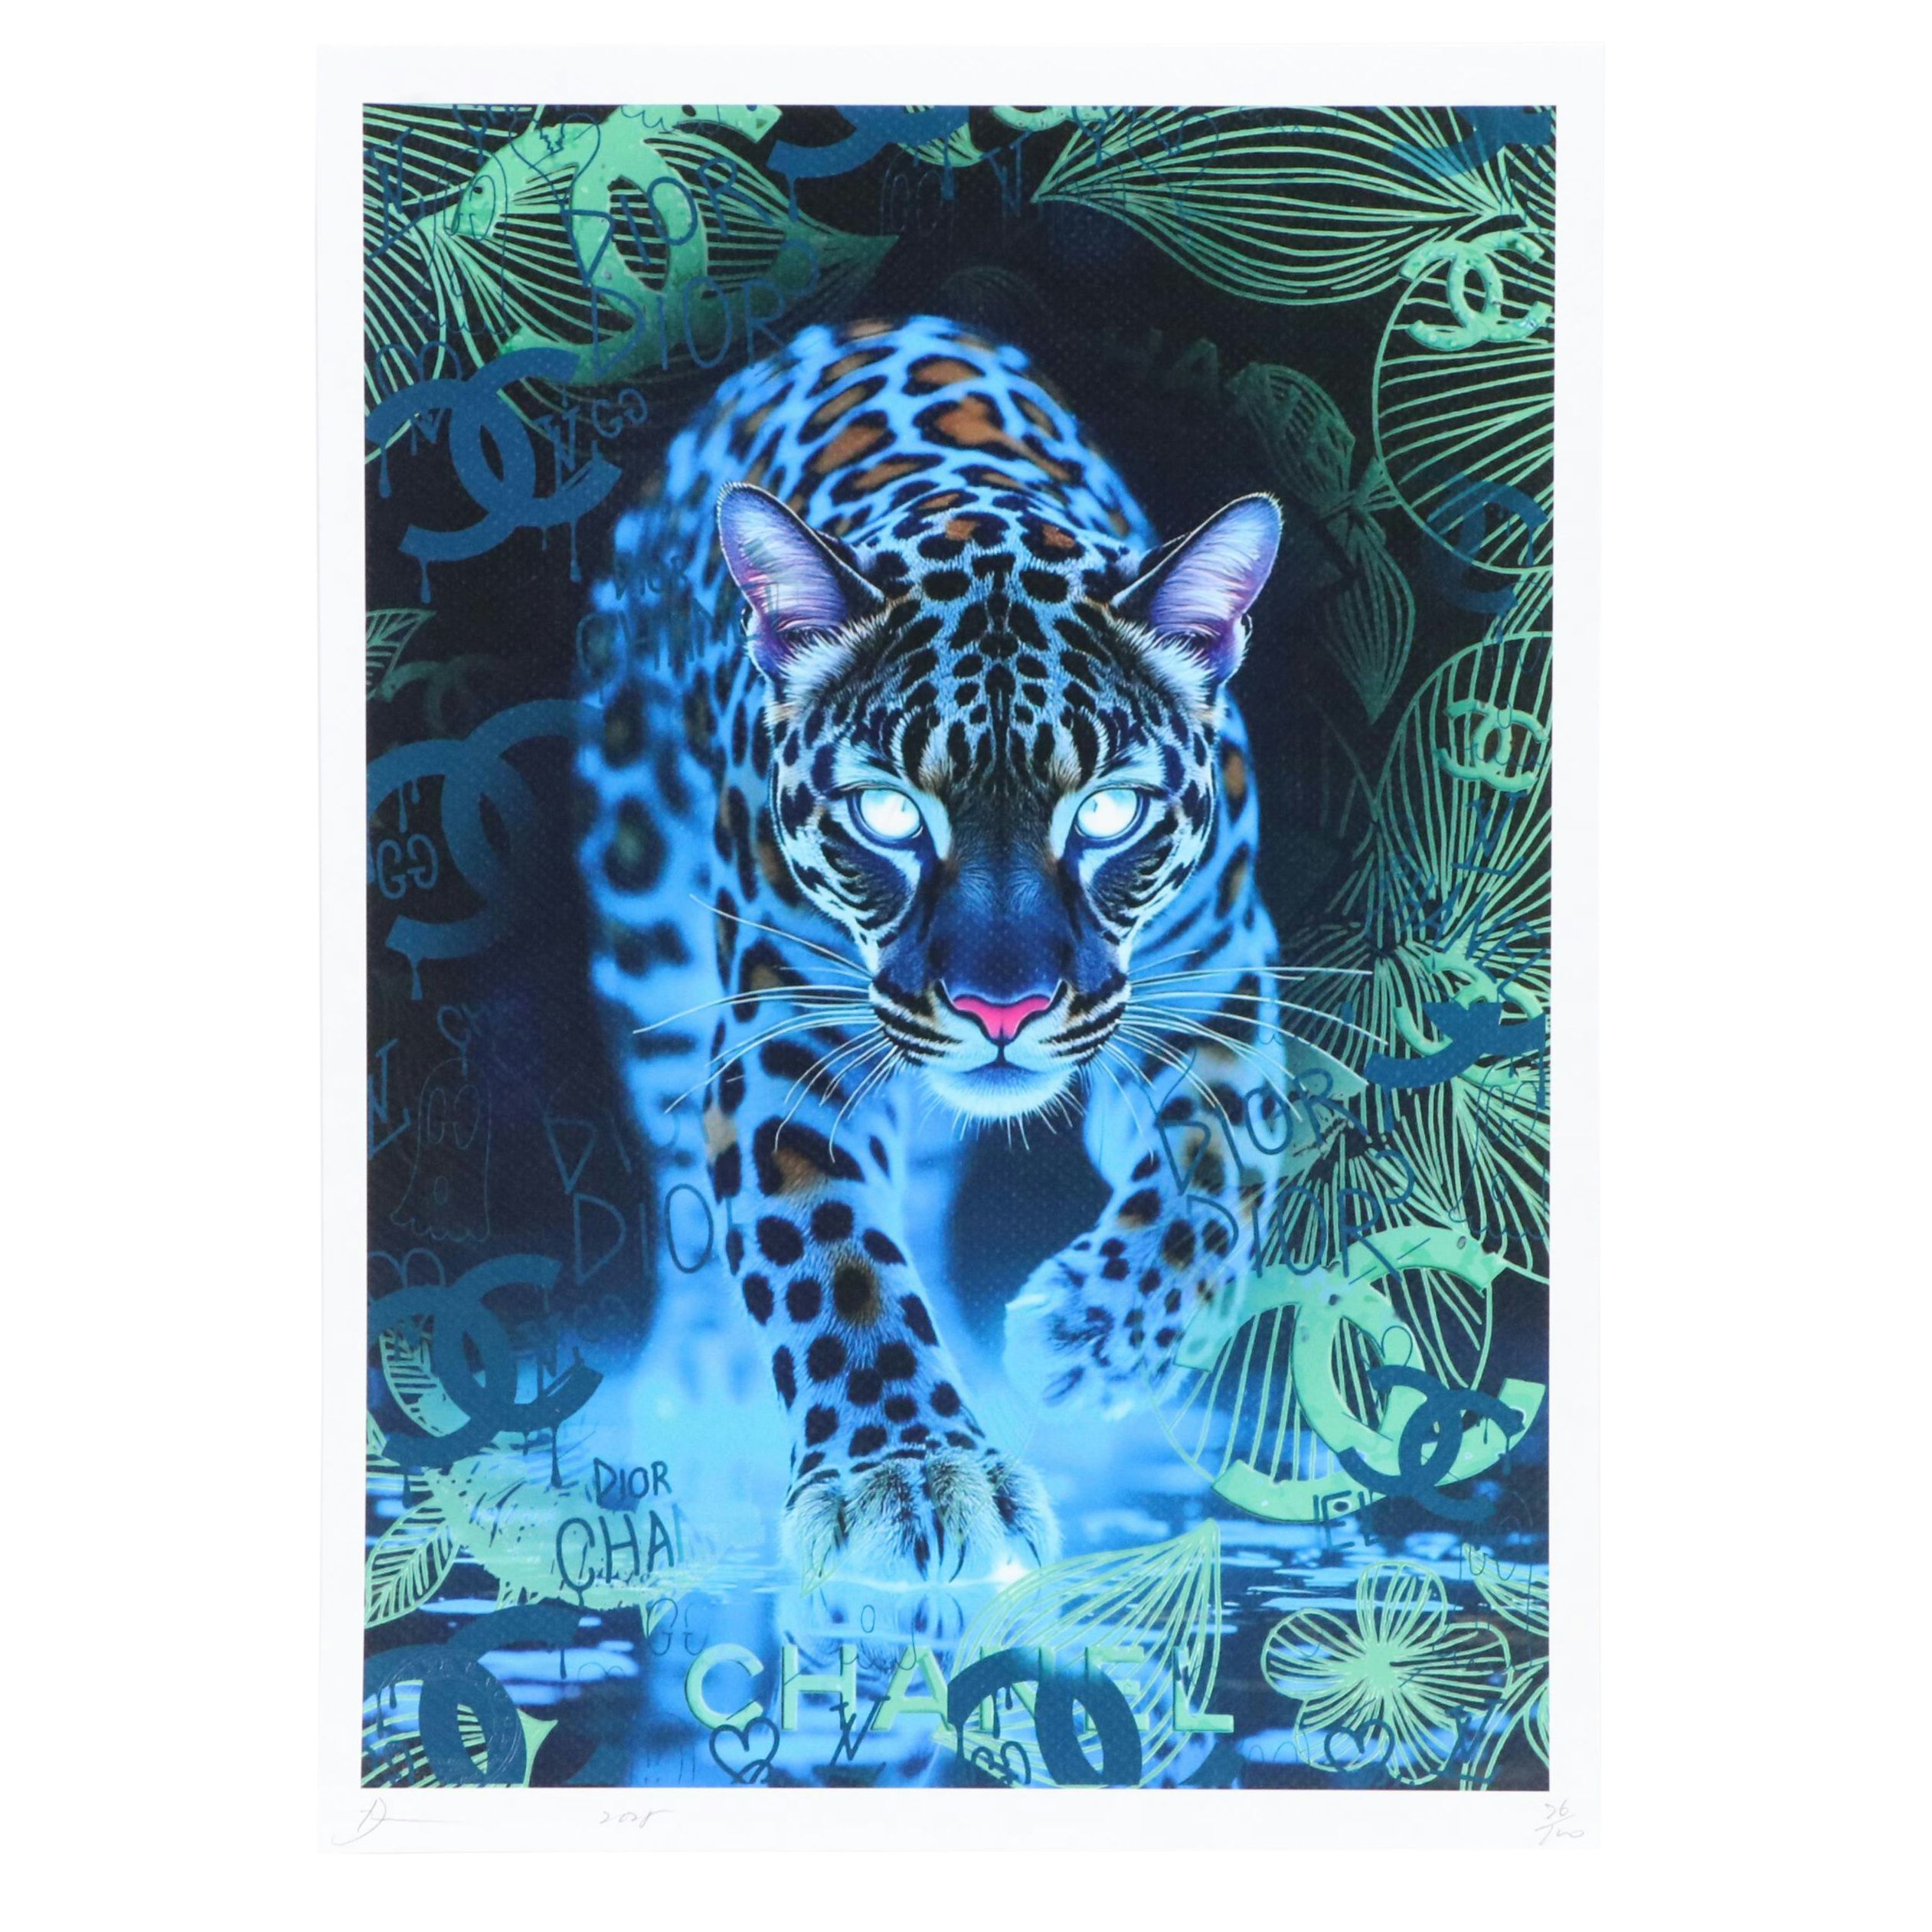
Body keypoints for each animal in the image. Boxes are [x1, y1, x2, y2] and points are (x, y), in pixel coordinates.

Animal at [577, 314, 1293, 1585]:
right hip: (642, 914)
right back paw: (701, 1382)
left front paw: (1087, 1336)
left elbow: (1220, 1181)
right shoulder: (787, 1039)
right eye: (887, 813)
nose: (999, 1010)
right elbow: (830, 1257)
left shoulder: (1219, 986)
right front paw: (906, 1474)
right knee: (680, 1175)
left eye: (1108, 811)